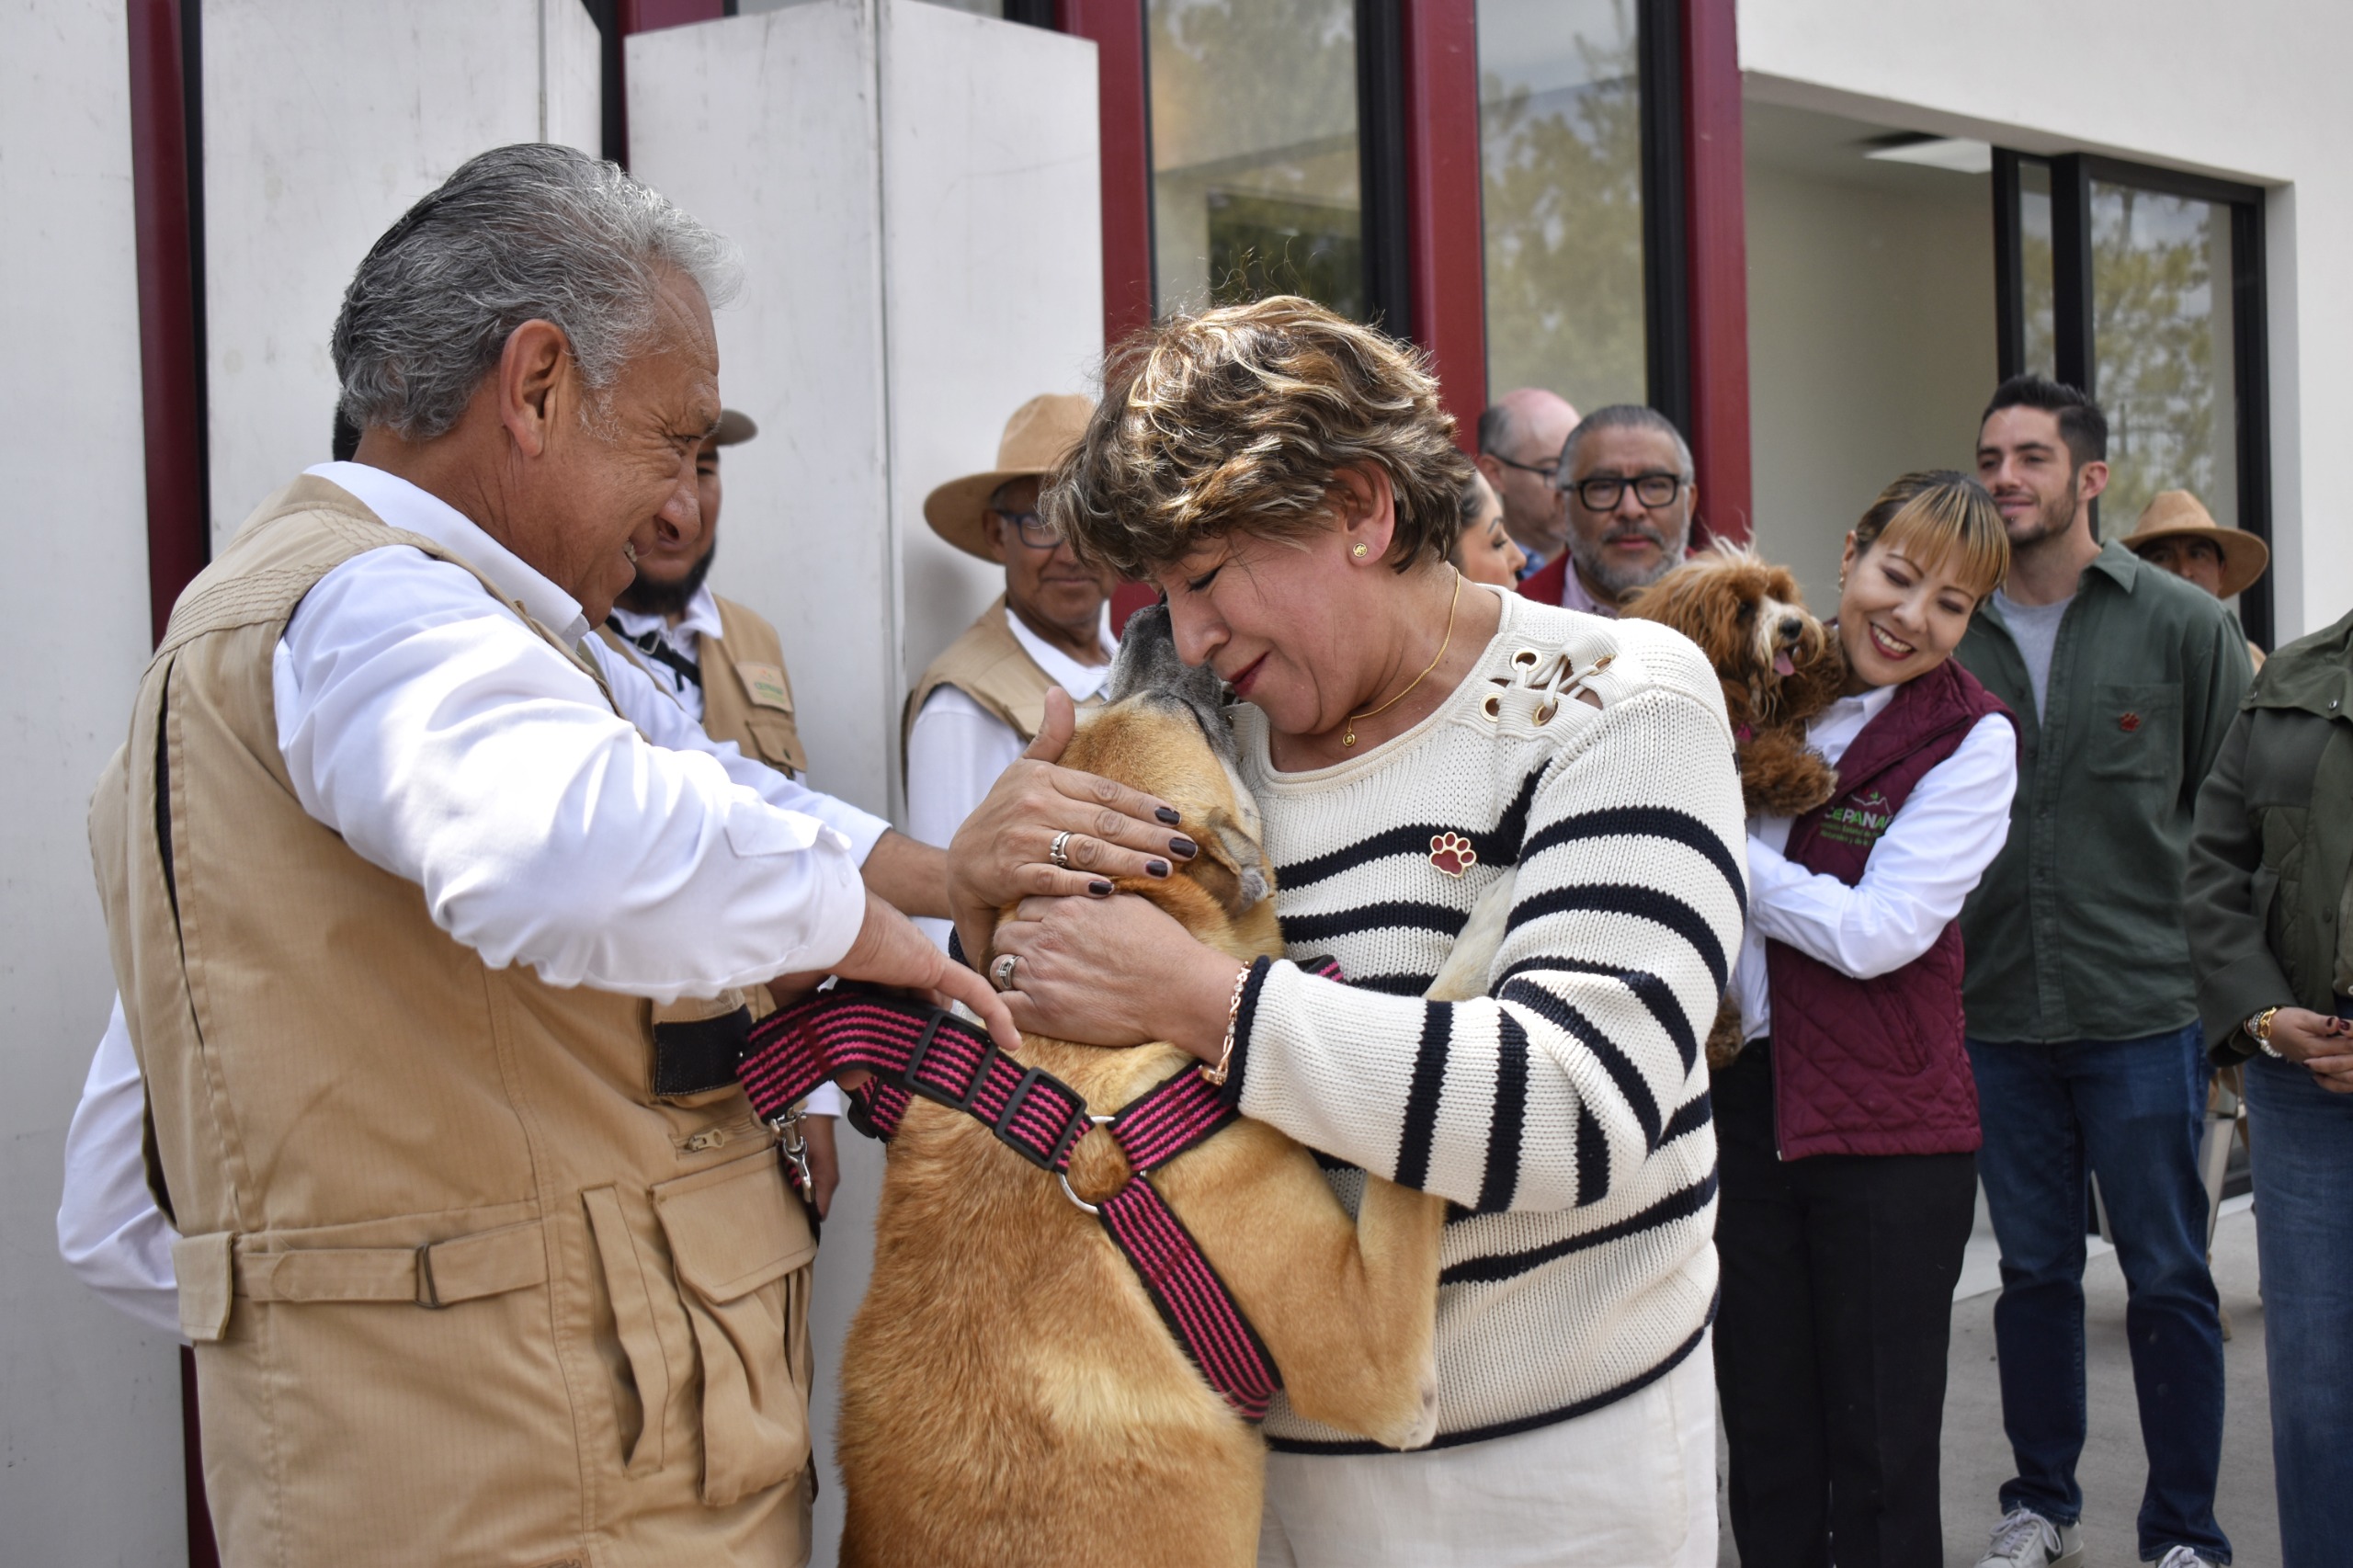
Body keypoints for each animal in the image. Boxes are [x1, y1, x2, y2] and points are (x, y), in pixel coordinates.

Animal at [1628, 537, 1845, 1063]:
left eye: (1779, 593)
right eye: (1744, 609)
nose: (1793, 626)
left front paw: (1826, 665)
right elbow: (1761, 758)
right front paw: (1807, 776)